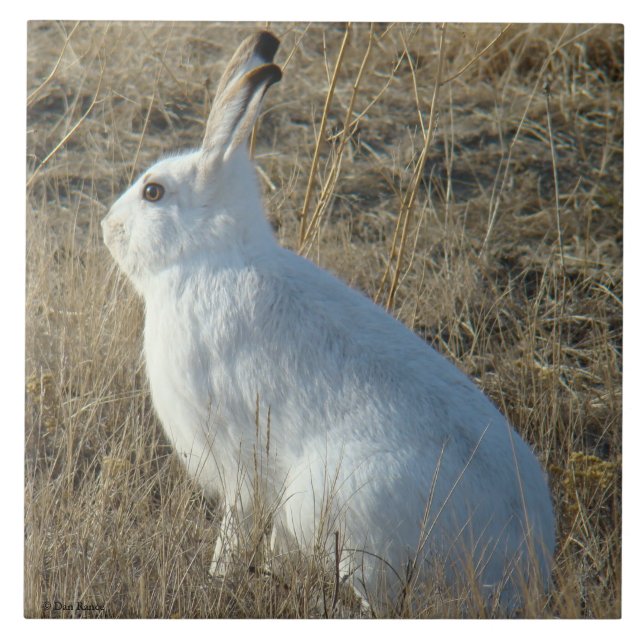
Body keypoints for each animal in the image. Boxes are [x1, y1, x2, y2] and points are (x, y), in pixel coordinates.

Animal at [102, 29, 555, 611]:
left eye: (153, 192)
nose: (106, 226)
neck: (211, 256)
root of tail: (522, 569)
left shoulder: (236, 458)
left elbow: (235, 524)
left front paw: (217, 578)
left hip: (345, 507)